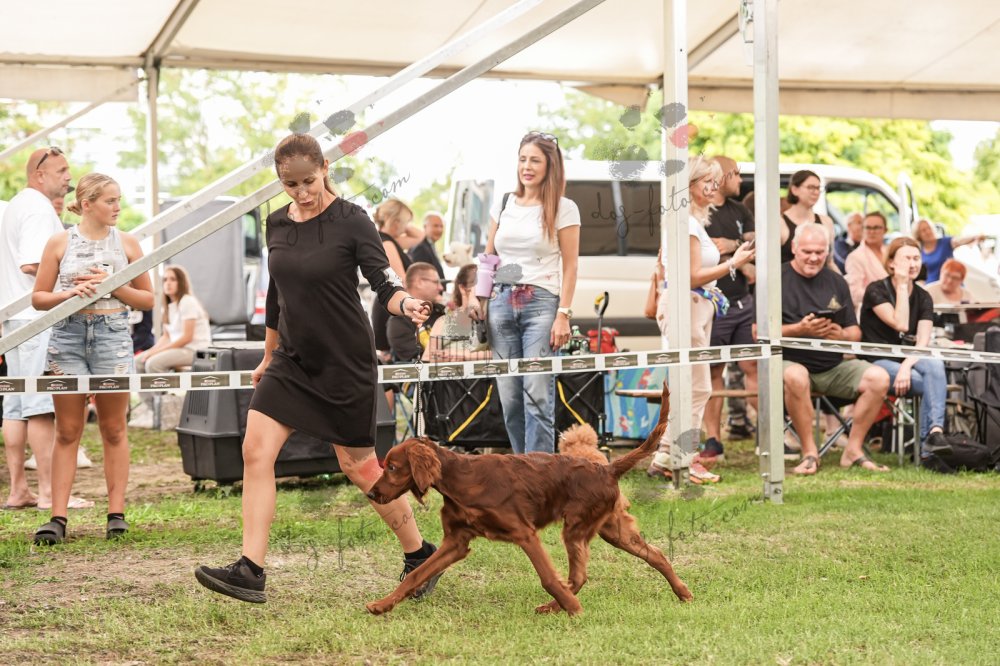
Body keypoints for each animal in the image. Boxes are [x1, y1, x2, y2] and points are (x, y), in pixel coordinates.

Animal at [365, 385, 691, 616]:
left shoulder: (524, 533)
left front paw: (574, 609)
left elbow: (548, 577)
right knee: (655, 555)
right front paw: (382, 605)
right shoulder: (456, 542)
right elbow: (417, 574)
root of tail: (607, 468)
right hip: (612, 529)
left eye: (392, 467)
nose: (371, 494)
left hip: (576, 529)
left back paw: (560, 606)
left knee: (578, 576)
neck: (460, 479)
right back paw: (683, 592)